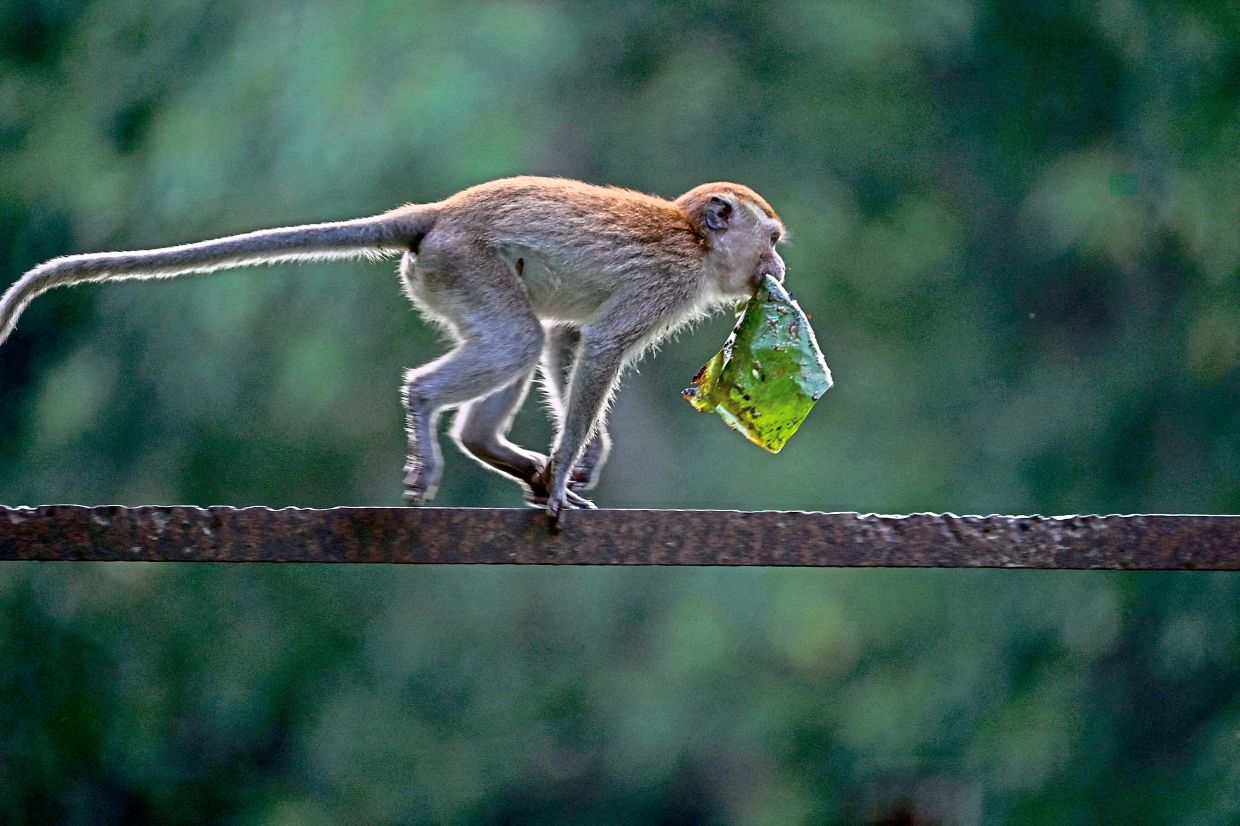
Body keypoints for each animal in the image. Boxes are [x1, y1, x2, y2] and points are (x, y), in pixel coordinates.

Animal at [0, 176, 787, 526]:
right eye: (772, 239)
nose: (778, 266)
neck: (694, 239)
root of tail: (439, 213)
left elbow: (569, 341)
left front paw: (582, 458)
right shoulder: (667, 285)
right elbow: (600, 345)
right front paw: (567, 471)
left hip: (445, 275)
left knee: (528, 337)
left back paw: (486, 445)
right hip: (466, 262)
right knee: (515, 340)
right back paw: (429, 411)